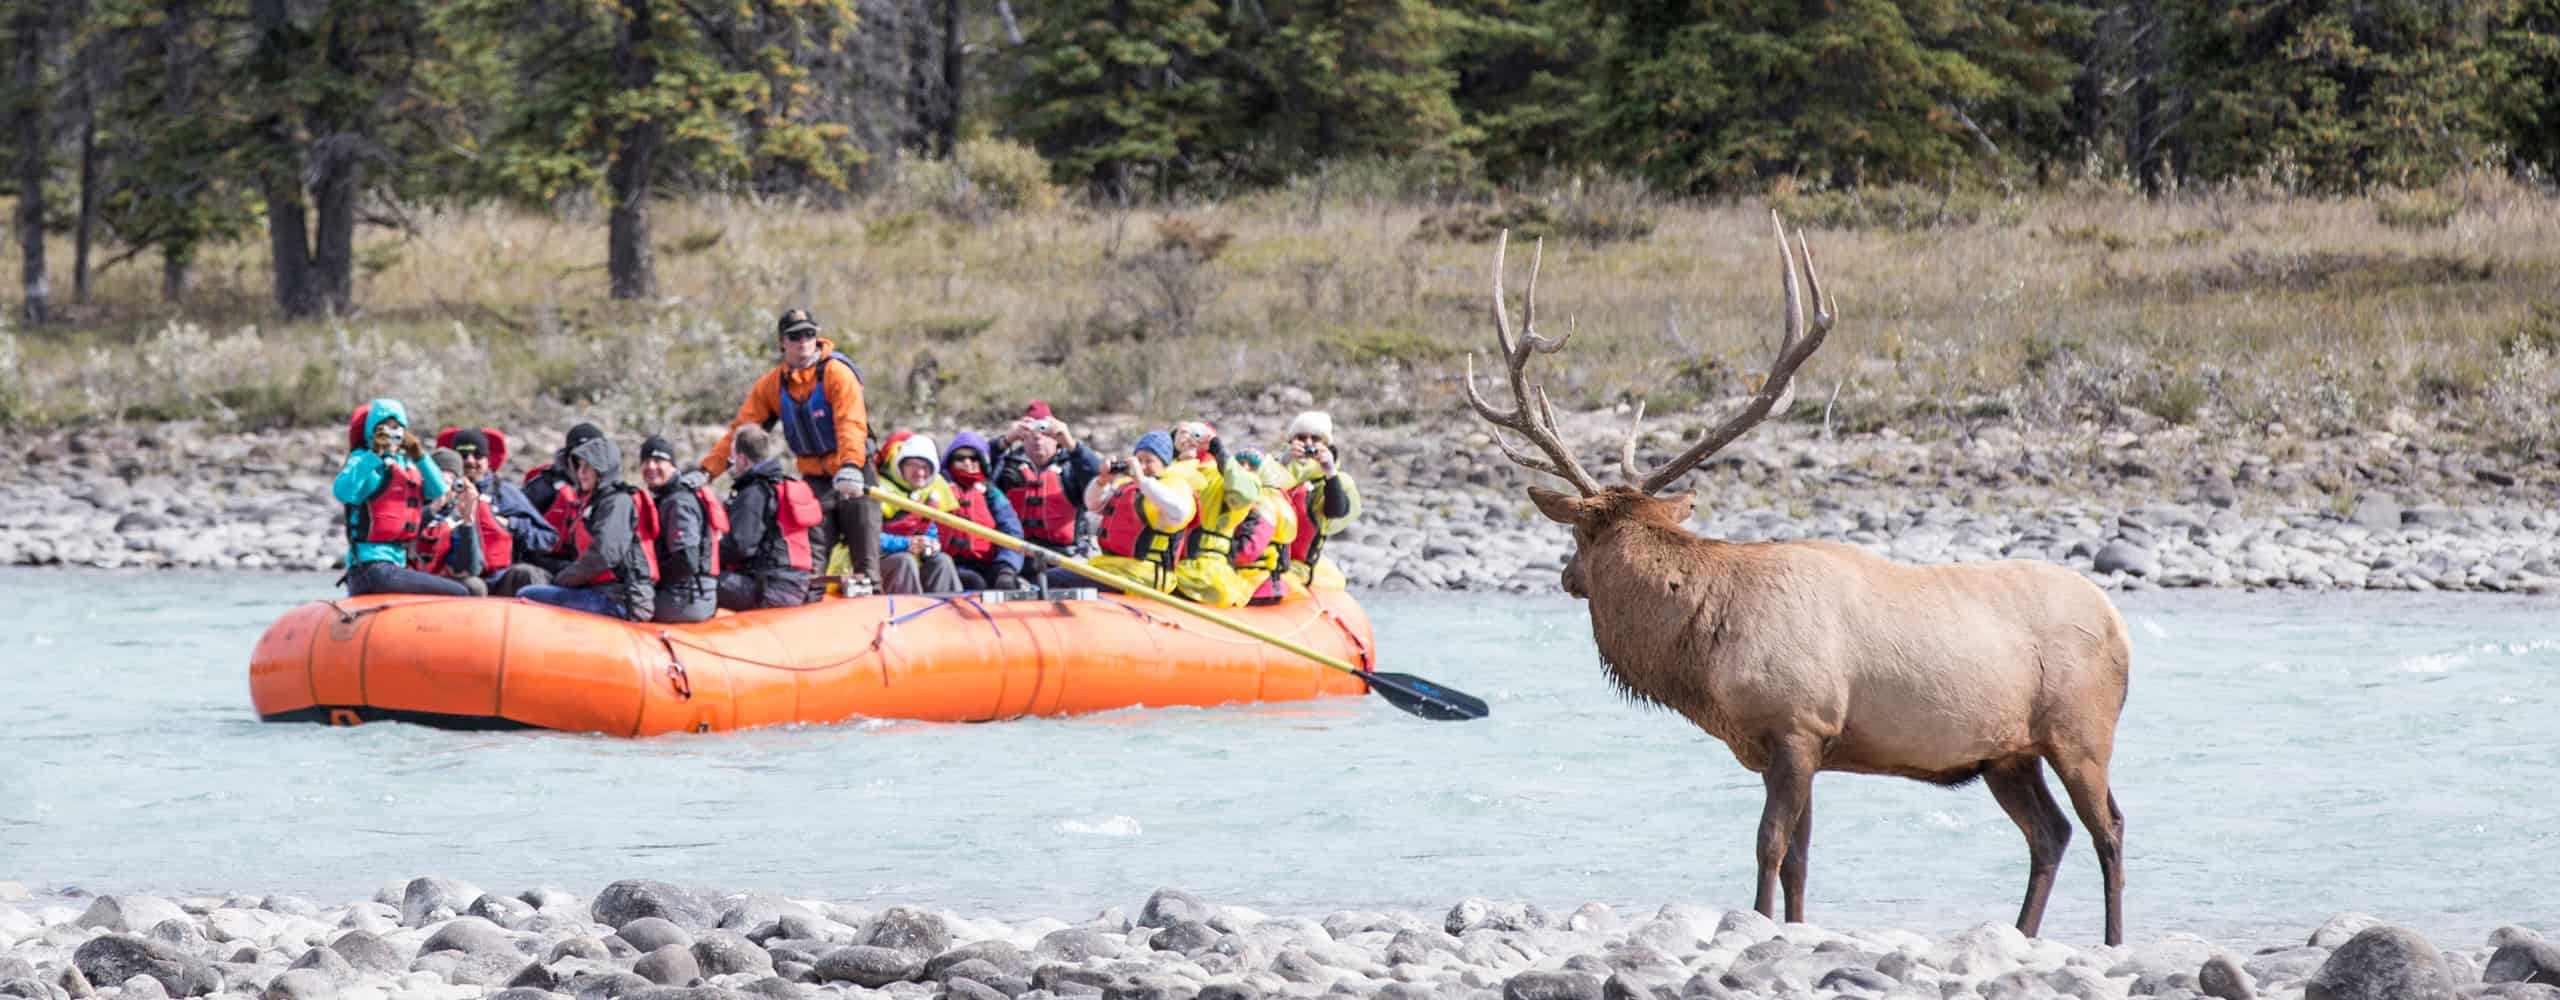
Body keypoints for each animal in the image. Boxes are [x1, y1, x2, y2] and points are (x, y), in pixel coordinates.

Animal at [1474, 213, 2129, 946]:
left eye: (1579, 534)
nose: (1565, 575)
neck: (1705, 654)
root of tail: (2118, 624)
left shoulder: (1797, 725)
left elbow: (1768, 844)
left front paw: (1755, 922)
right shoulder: (1799, 745)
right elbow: (1801, 859)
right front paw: (1793, 926)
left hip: (2081, 729)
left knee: (2108, 827)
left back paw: (2113, 938)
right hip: (2008, 753)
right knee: (2050, 833)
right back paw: (2024, 931)